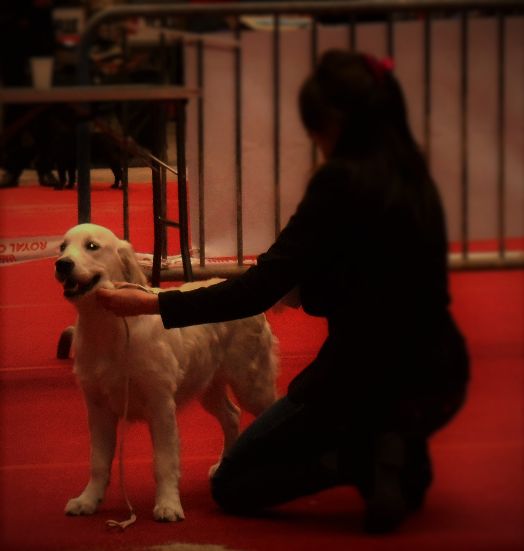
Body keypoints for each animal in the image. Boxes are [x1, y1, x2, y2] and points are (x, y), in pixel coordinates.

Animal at [54, 223, 278, 520]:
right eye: (62, 247)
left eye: (92, 246)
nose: (62, 264)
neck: (107, 327)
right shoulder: (97, 407)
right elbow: (99, 462)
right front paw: (87, 500)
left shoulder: (160, 404)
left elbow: (164, 462)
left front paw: (168, 505)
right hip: (208, 386)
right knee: (232, 415)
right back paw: (222, 464)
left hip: (251, 384)